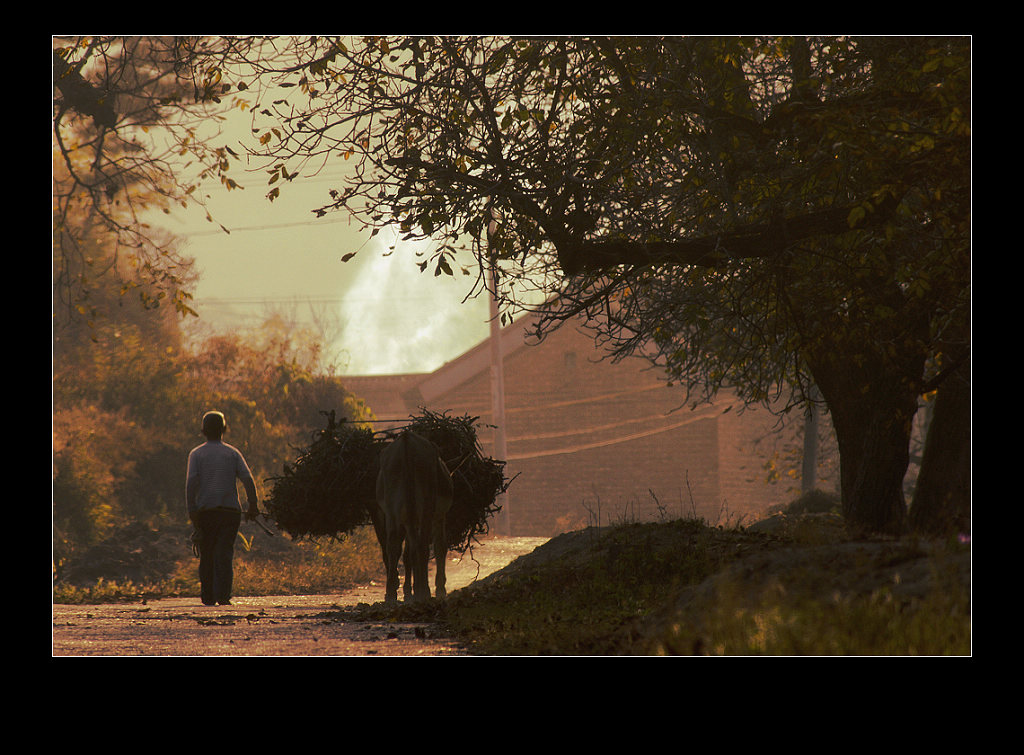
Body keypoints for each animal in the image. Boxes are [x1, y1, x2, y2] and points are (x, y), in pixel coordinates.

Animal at [372, 430, 452, 602]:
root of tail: (406, 441)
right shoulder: (439, 516)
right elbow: (440, 547)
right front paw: (439, 588)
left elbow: (407, 552)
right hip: (426, 507)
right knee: (421, 545)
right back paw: (423, 591)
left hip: (392, 508)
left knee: (394, 545)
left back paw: (392, 593)